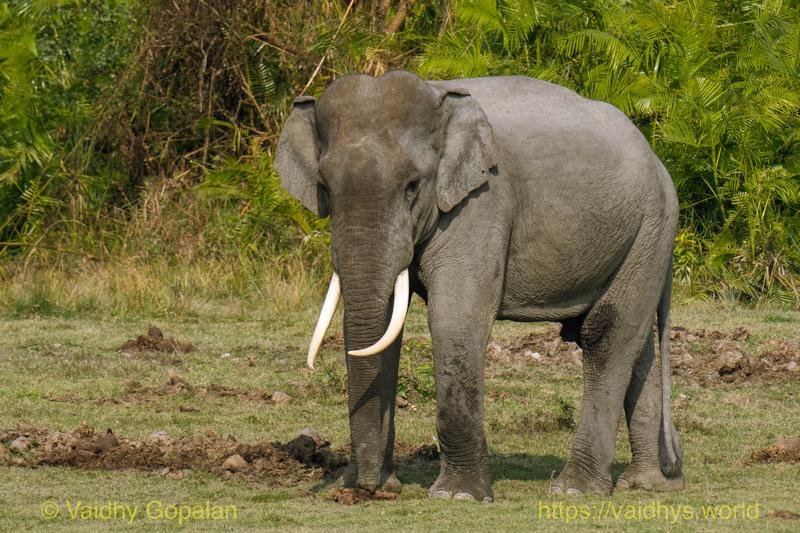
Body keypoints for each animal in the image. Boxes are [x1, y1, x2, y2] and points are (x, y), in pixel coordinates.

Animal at [273, 70, 684, 501]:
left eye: (413, 185)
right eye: (324, 186)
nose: (370, 489)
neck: (439, 96)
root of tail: (659, 162)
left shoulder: (482, 202)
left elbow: (455, 321)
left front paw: (459, 496)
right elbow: (383, 329)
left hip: (651, 226)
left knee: (607, 336)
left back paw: (577, 490)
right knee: (637, 344)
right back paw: (647, 484)